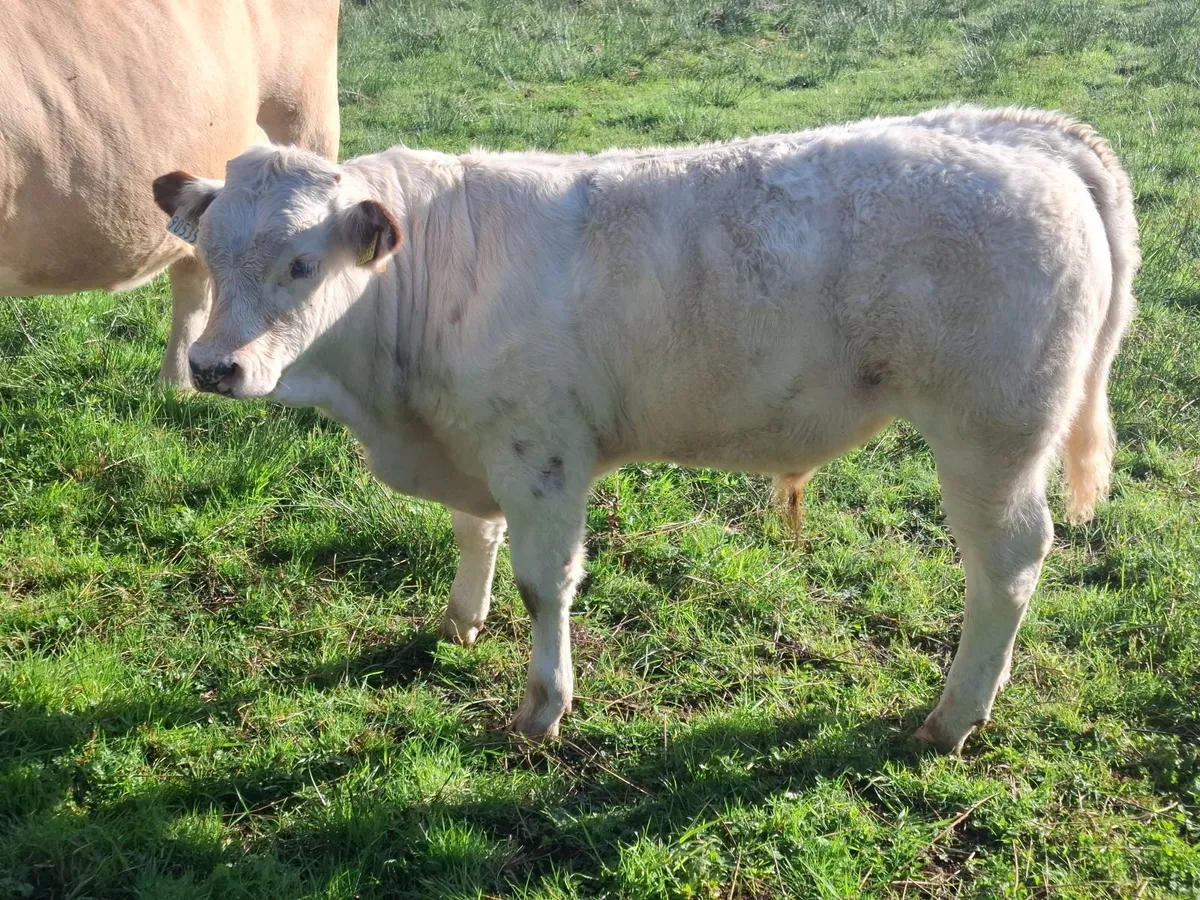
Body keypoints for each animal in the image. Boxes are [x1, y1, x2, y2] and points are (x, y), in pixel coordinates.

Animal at [152, 104, 1138, 752]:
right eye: (207, 254)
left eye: (302, 263)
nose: (213, 367)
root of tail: (1014, 132)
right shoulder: (474, 438)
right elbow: (474, 534)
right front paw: (461, 621)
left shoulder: (543, 455)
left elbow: (545, 586)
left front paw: (543, 707)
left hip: (992, 436)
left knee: (1007, 564)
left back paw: (952, 716)